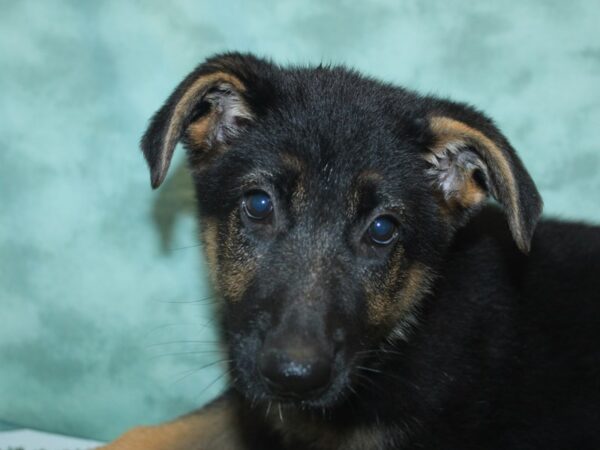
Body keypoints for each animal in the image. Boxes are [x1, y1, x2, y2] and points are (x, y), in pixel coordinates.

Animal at [102, 53, 600, 450]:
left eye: (382, 229)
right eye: (259, 204)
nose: (293, 376)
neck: (403, 335)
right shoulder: (257, 411)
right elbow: (150, 432)